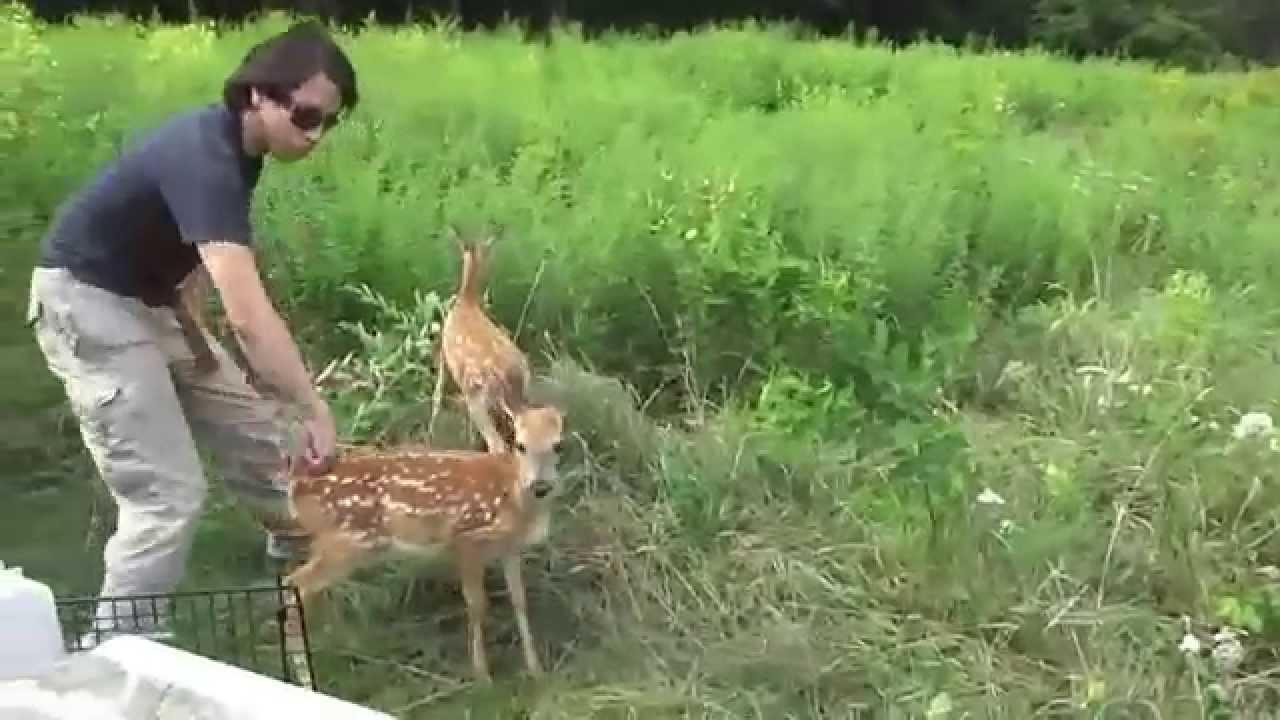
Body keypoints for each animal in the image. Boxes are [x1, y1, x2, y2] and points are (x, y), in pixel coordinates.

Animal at [282, 400, 566, 682]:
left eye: (558, 445)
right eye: (520, 444)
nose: (540, 486)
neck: (514, 498)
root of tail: (296, 487)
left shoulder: (510, 548)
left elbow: (519, 601)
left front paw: (536, 670)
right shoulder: (466, 538)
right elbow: (477, 605)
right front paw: (482, 675)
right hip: (346, 541)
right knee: (294, 584)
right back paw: (304, 673)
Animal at [429, 226, 534, 455]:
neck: (466, 302)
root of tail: (512, 377)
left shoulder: (444, 355)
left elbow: (437, 394)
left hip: (478, 396)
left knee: (497, 444)